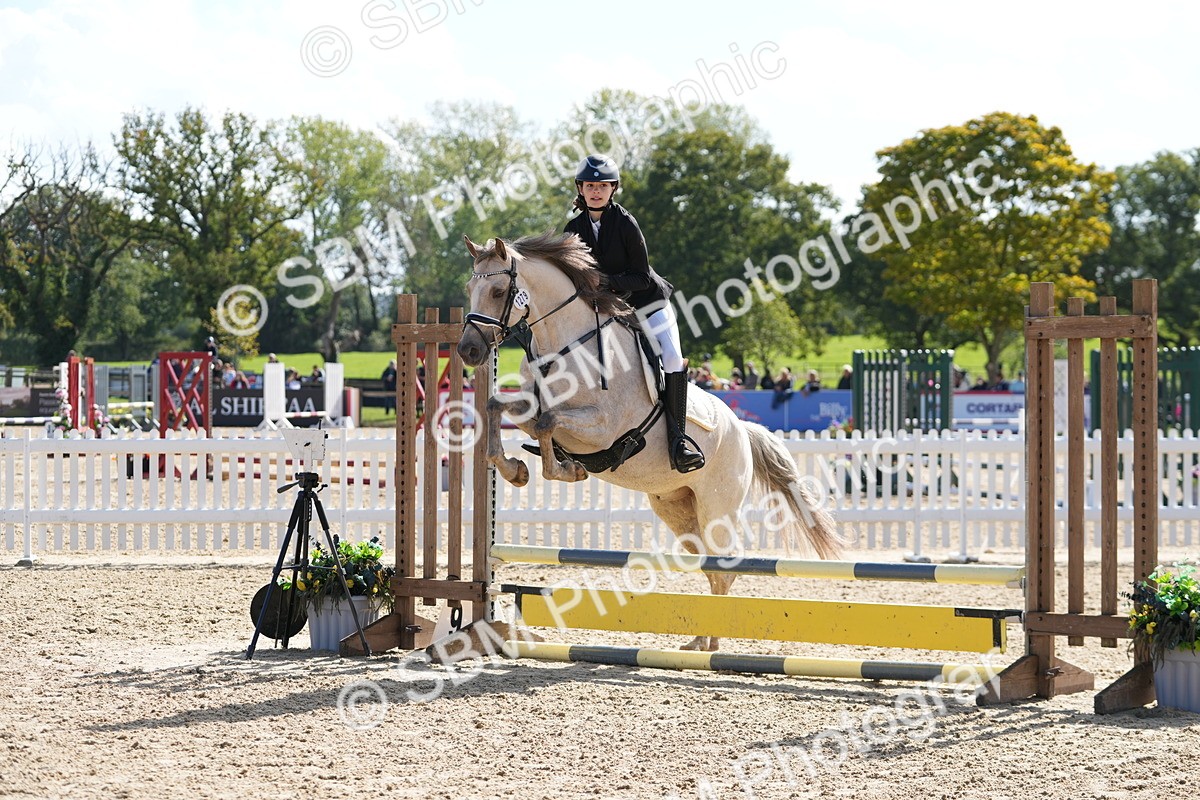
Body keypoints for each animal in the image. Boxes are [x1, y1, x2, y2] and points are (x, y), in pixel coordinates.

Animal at [456, 232, 842, 650]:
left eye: (498, 291)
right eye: (469, 289)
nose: (468, 350)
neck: (567, 343)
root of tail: (742, 429)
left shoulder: (602, 427)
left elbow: (547, 423)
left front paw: (566, 471)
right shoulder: (531, 407)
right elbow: (498, 406)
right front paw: (515, 470)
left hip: (716, 509)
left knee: (724, 566)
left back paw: (711, 642)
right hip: (678, 510)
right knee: (712, 567)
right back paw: (700, 642)